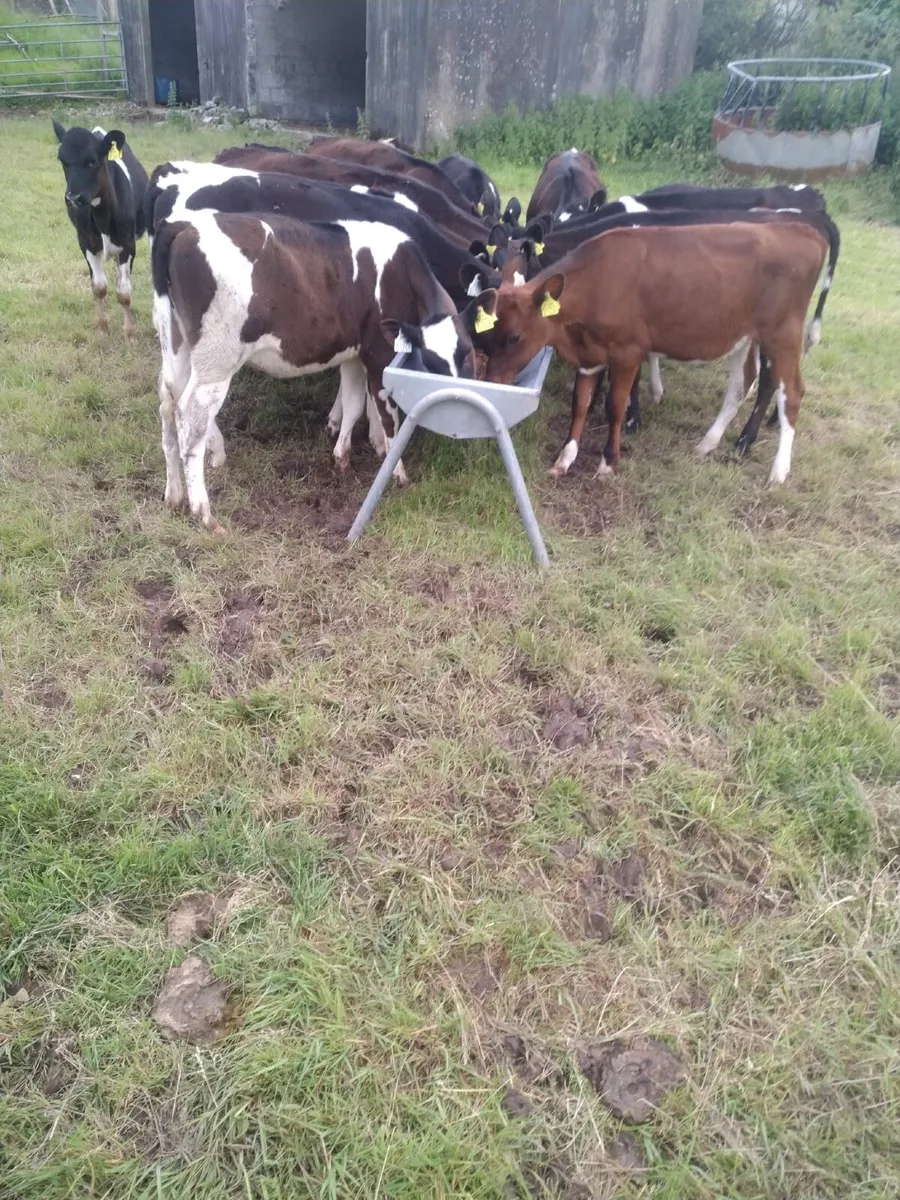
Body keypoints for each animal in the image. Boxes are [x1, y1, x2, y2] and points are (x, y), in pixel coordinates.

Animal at [53, 121, 148, 339]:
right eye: (63, 162)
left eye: (92, 162)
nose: (72, 198)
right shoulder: (86, 242)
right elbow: (98, 287)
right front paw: (102, 328)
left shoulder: (128, 245)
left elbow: (124, 291)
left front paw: (130, 333)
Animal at [152, 211, 477, 532]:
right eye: (430, 363)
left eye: (468, 355)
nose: (454, 410)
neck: (404, 274)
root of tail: (182, 225)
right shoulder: (379, 353)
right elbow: (388, 420)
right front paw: (397, 472)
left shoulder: (353, 354)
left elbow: (354, 404)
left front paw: (344, 457)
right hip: (216, 361)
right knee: (190, 419)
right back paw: (204, 512)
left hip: (177, 346)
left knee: (168, 404)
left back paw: (174, 494)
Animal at [475, 220, 830, 488]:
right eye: (486, 336)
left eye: (515, 338)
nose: (492, 382)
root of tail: (801, 230)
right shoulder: (590, 357)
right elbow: (580, 404)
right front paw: (564, 459)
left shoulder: (628, 352)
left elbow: (614, 406)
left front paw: (607, 462)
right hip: (743, 338)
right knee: (740, 386)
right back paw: (707, 444)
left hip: (782, 335)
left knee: (792, 392)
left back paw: (778, 471)